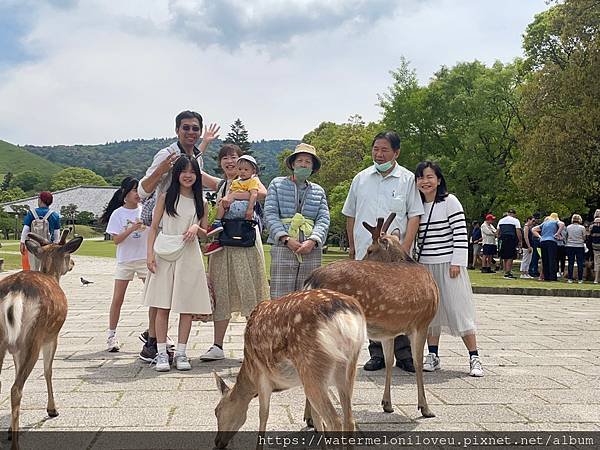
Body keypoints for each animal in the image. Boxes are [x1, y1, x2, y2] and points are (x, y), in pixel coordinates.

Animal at [0, 232, 82, 446]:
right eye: (68, 255)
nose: (73, 263)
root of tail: (14, 292)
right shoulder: (52, 337)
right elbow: (48, 371)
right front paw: (52, 410)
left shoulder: (17, 349)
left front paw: (10, 428)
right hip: (34, 337)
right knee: (16, 389)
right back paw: (16, 444)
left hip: (6, 341)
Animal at [213, 290, 368, 448]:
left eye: (216, 411)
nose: (217, 442)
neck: (249, 375)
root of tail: (345, 316)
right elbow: (316, 417)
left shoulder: (261, 375)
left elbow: (263, 415)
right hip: (347, 368)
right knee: (349, 420)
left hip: (312, 366)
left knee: (335, 421)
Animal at [302, 213, 438, 420]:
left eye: (370, 249)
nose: (361, 257)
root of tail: (312, 279)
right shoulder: (422, 322)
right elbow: (417, 362)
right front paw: (425, 408)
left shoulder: (390, 330)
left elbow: (389, 361)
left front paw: (387, 404)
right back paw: (312, 418)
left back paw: (309, 417)